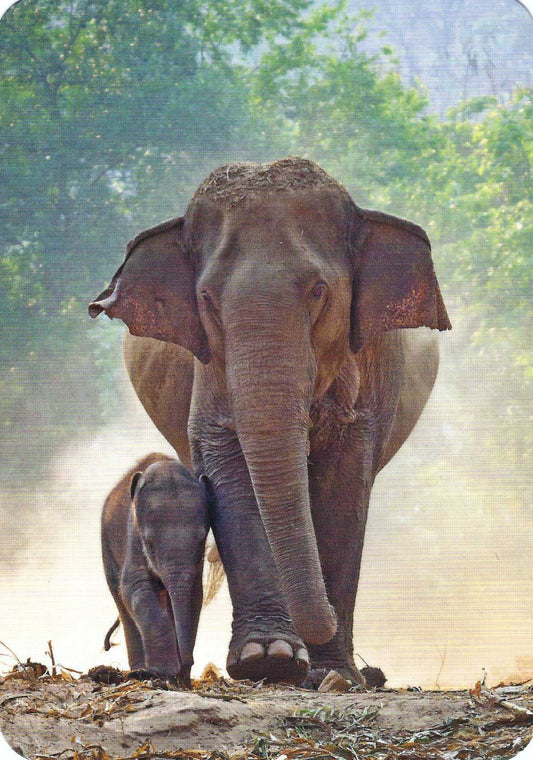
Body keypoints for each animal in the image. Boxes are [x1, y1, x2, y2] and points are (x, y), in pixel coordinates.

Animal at [101, 453, 210, 686]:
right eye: (149, 543)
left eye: (201, 541)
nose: (188, 662)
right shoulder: (133, 537)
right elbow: (134, 588)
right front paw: (164, 671)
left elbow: (195, 596)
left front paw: (178, 678)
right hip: (106, 544)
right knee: (121, 600)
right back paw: (139, 671)